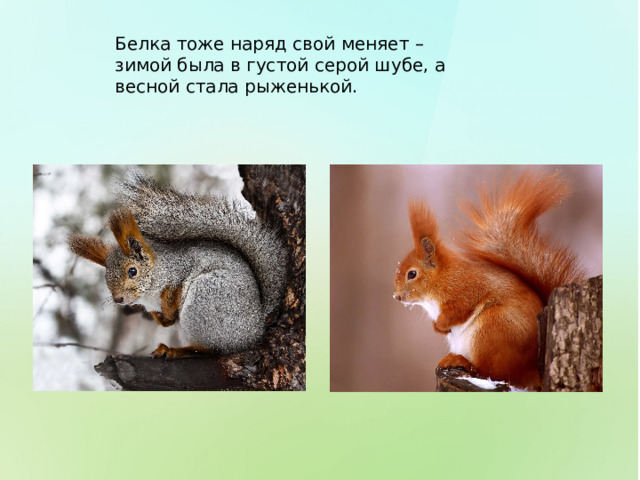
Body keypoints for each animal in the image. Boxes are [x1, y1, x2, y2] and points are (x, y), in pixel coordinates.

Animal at [68, 170, 287, 358]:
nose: (118, 299)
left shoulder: (182, 268)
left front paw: (168, 305)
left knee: (213, 349)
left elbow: (176, 289)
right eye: (106, 276)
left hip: (205, 299)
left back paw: (177, 350)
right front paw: (161, 318)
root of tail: (254, 328)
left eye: (132, 271)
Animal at [393, 171, 586, 389]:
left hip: (492, 329)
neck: (442, 278)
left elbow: (458, 310)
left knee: (492, 371)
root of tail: (532, 370)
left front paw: (441, 323)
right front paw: (438, 327)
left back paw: (460, 361)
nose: (397, 296)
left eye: (412, 274)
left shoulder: (465, 290)